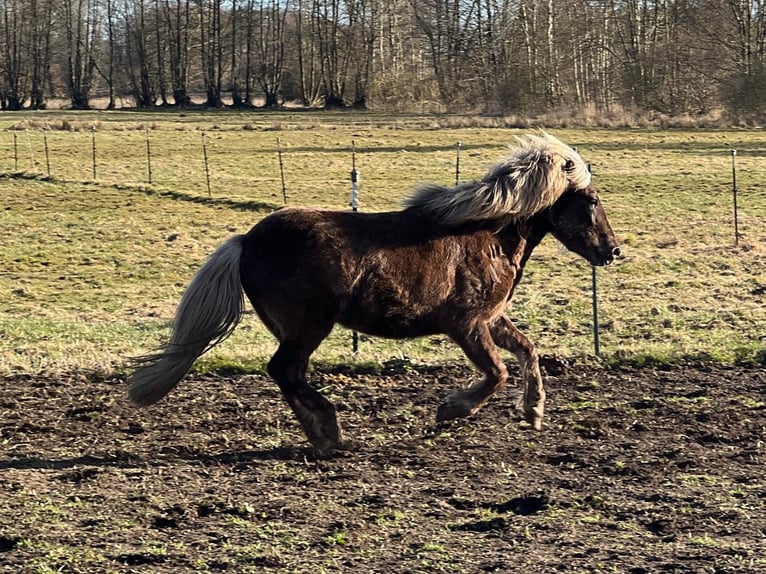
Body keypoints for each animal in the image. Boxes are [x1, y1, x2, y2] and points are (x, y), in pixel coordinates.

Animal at [128, 132, 621, 454]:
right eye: (592, 201)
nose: (612, 251)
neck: (486, 236)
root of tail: (246, 241)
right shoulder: (466, 325)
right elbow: (497, 372)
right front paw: (449, 411)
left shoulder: (491, 319)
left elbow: (528, 351)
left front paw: (533, 412)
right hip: (309, 326)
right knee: (284, 371)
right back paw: (329, 433)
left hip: (299, 330)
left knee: (289, 375)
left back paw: (322, 436)